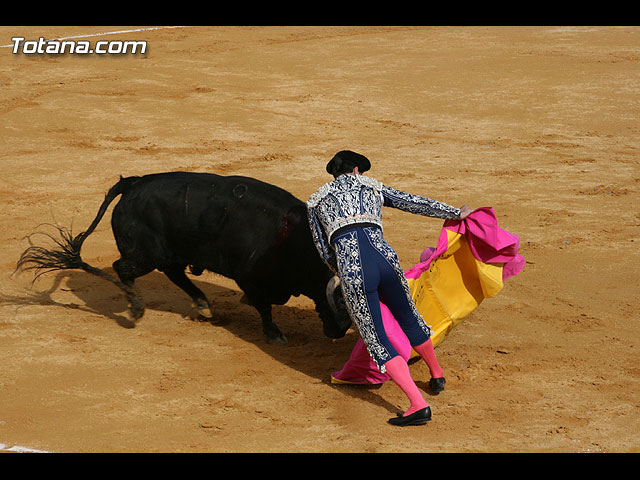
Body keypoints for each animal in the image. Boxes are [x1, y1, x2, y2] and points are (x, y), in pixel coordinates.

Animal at [17, 172, 352, 344]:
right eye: (337, 303)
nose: (339, 332)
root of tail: (133, 183)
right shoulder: (251, 279)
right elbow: (264, 307)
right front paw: (274, 335)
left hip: (170, 253)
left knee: (175, 274)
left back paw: (203, 306)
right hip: (145, 254)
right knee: (122, 268)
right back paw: (136, 310)